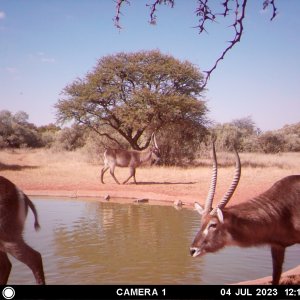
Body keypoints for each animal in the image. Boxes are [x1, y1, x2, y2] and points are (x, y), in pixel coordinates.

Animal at [190, 144, 300, 284]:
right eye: (201, 222)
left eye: (213, 224)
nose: (193, 250)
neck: (284, 209)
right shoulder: (277, 247)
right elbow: (275, 277)